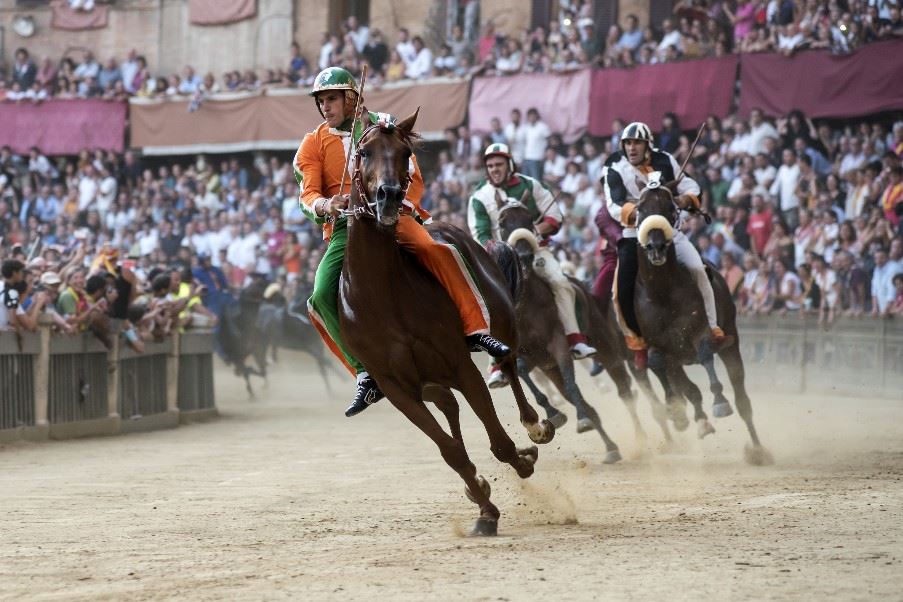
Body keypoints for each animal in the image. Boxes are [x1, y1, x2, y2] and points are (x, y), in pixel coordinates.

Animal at [336, 110, 556, 536]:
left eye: (405, 153)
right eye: (364, 153)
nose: (389, 196)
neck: (382, 295)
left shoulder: (459, 362)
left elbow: (498, 441)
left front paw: (520, 461)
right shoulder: (398, 388)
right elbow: (450, 450)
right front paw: (485, 508)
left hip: (500, 323)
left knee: (509, 362)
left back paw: (535, 426)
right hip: (430, 382)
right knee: (450, 406)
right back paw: (478, 486)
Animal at [632, 179, 772, 464]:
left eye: (670, 207)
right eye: (640, 208)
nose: (655, 246)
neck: (661, 292)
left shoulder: (698, 331)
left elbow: (706, 352)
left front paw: (719, 401)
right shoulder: (663, 348)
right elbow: (666, 369)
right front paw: (689, 415)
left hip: (732, 342)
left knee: (742, 397)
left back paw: (757, 450)